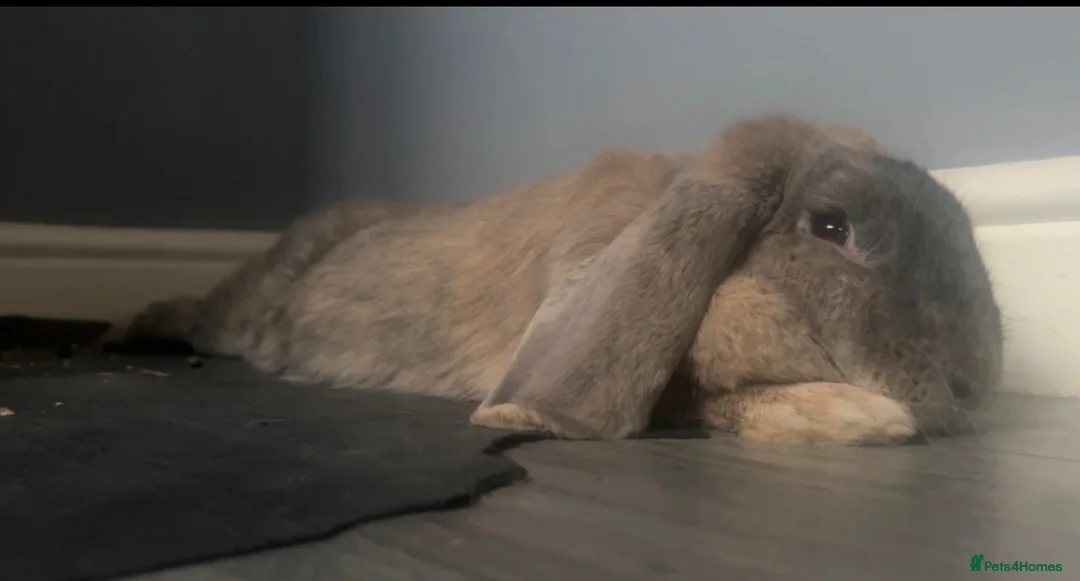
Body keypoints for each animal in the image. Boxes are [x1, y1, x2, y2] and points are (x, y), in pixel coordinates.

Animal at [116, 114, 1003, 447]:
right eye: (829, 228)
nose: (973, 385)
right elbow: (710, 399)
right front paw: (857, 414)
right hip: (242, 311)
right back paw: (125, 331)